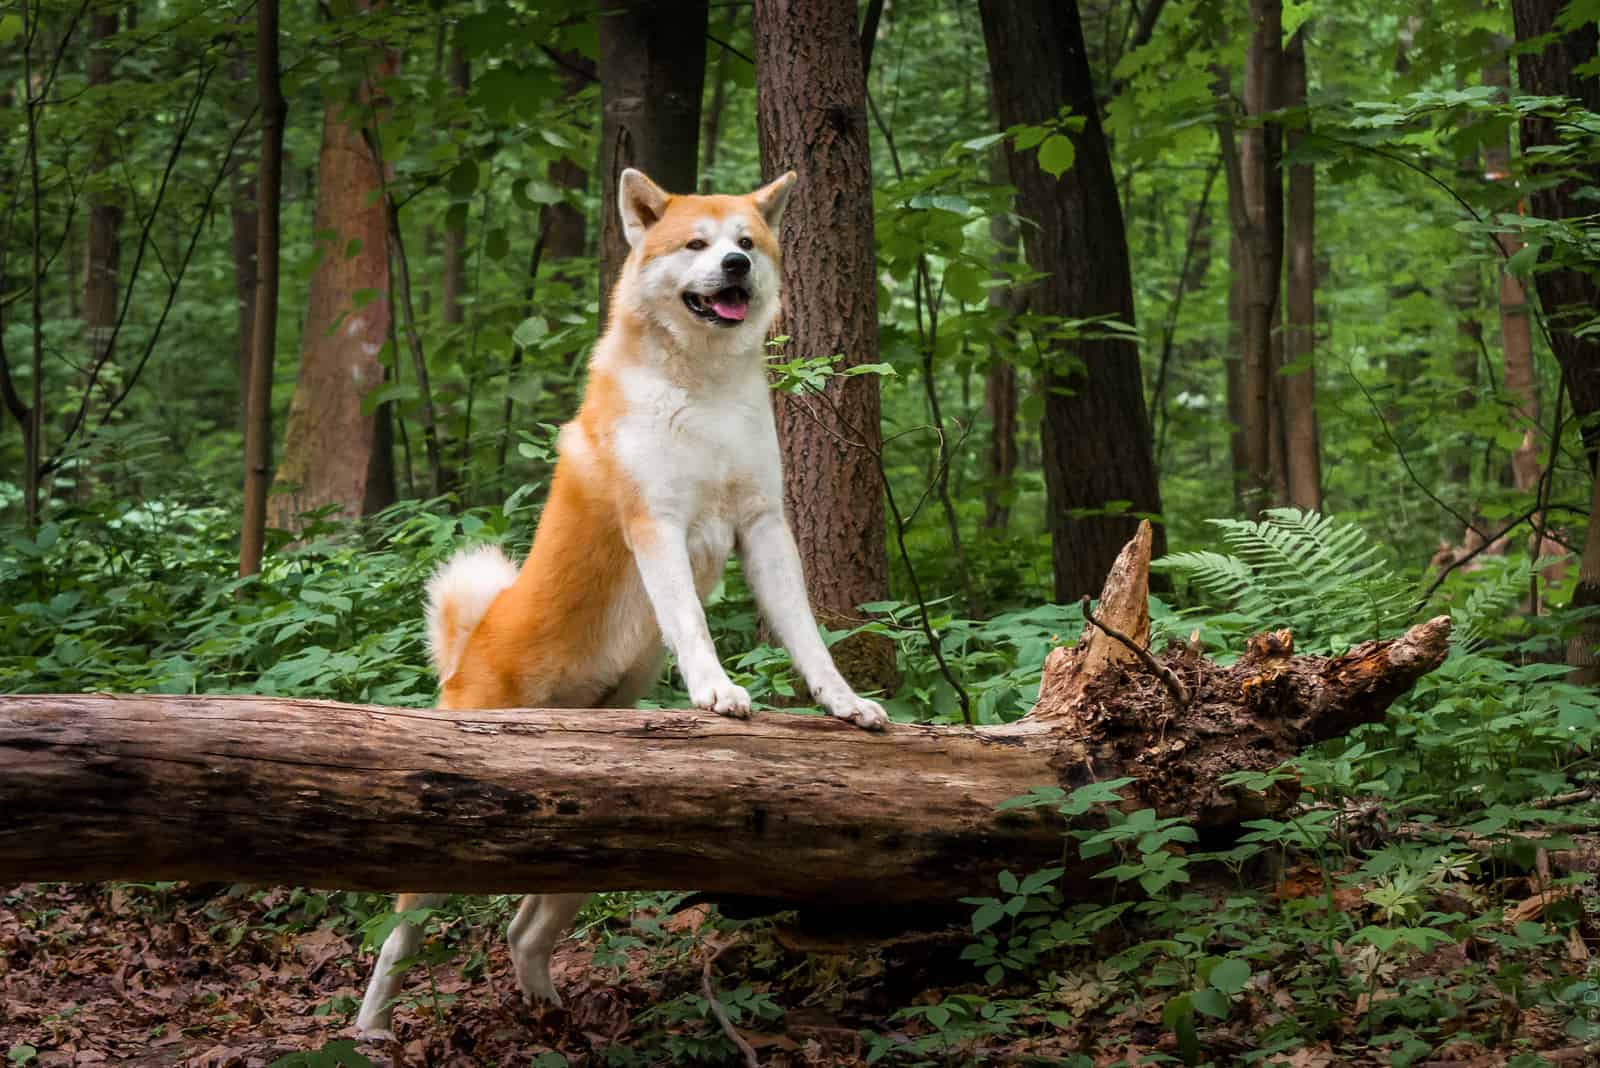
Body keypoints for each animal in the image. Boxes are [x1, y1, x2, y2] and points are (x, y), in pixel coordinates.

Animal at [352, 171, 896, 1036]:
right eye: (697, 244)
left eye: (747, 240)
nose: (737, 266)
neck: (703, 394)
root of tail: (469, 647)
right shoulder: (658, 528)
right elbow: (692, 626)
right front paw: (717, 693)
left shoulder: (766, 528)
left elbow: (808, 637)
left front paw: (844, 704)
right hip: (438, 861)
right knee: (399, 936)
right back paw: (370, 1027)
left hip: (599, 847)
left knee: (524, 931)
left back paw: (552, 1017)